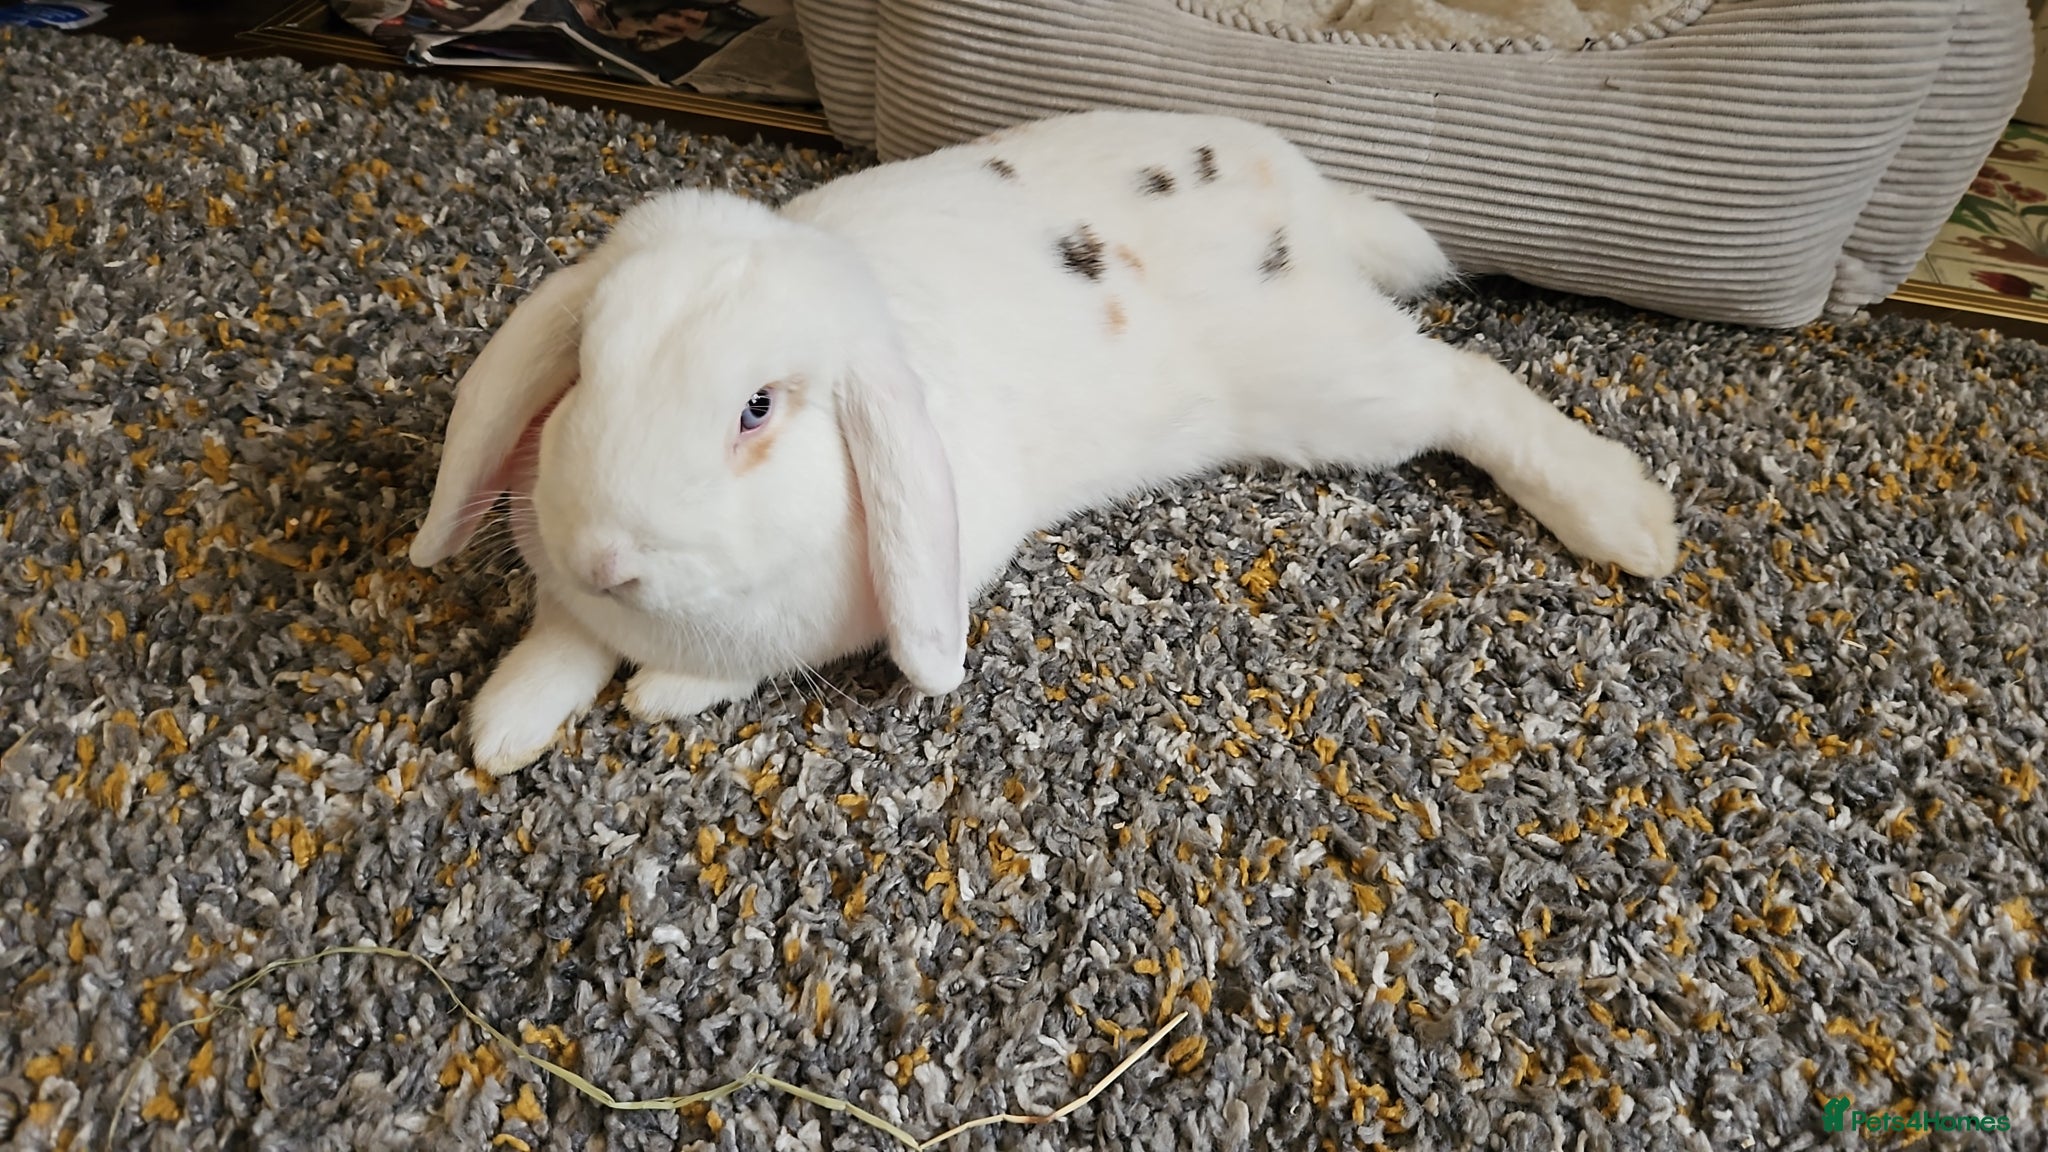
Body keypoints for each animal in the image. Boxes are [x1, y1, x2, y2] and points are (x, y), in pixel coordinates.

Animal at [409, 109, 1681, 776]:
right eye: (584, 368)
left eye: (757, 410)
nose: (606, 557)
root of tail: (1300, 193)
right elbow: (559, 641)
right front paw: (505, 727)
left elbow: (743, 662)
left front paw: (663, 694)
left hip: (1333, 387)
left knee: (1460, 385)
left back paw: (1628, 517)